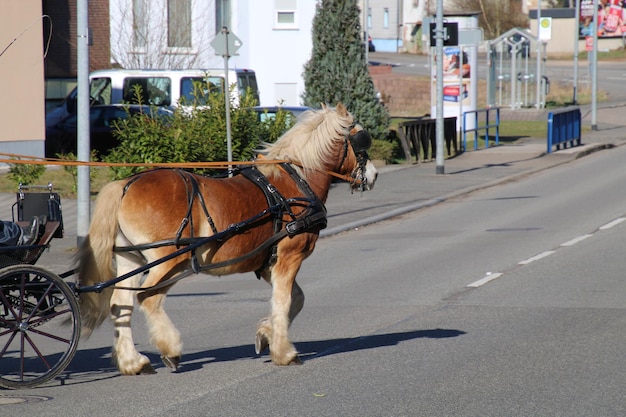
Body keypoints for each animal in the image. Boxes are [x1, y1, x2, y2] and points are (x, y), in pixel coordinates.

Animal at [78, 101, 378, 374]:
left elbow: (296, 298)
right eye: (361, 138)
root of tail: (125, 185)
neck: (295, 181)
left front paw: (266, 334)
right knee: (148, 298)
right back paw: (170, 349)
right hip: (169, 261)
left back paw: (133, 362)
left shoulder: (267, 262)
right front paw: (284, 351)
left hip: (131, 260)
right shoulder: (288, 257)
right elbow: (284, 301)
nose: (373, 175)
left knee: (120, 305)